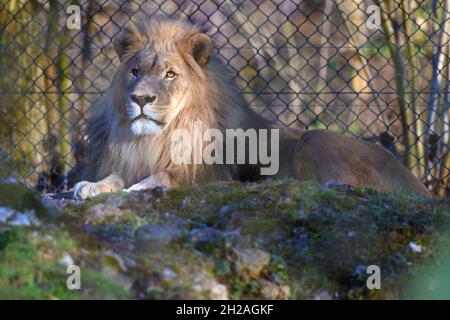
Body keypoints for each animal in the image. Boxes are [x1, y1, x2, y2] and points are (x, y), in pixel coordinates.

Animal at [73, 16, 428, 200]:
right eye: (135, 72)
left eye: (170, 74)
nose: (141, 99)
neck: (157, 138)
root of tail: (416, 184)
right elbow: (115, 175)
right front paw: (90, 186)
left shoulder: (212, 176)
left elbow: (161, 176)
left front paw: (136, 188)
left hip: (315, 139)